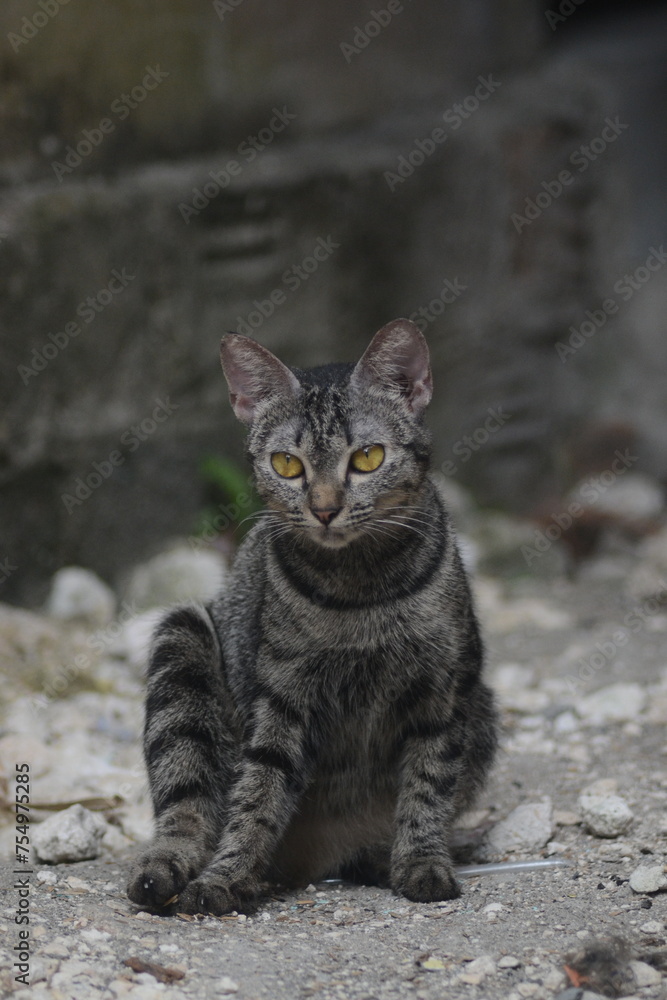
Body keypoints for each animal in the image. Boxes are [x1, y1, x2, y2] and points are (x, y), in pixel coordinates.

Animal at [128, 320, 498, 916]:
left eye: (368, 457)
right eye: (287, 465)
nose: (324, 509)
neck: (360, 590)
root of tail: (314, 861)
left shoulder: (443, 689)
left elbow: (427, 784)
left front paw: (422, 862)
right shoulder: (285, 693)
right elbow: (259, 790)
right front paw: (226, 876)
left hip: (482, 706)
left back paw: (378, 857)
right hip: (184, 642)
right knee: (187, 804)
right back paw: (169, 869)